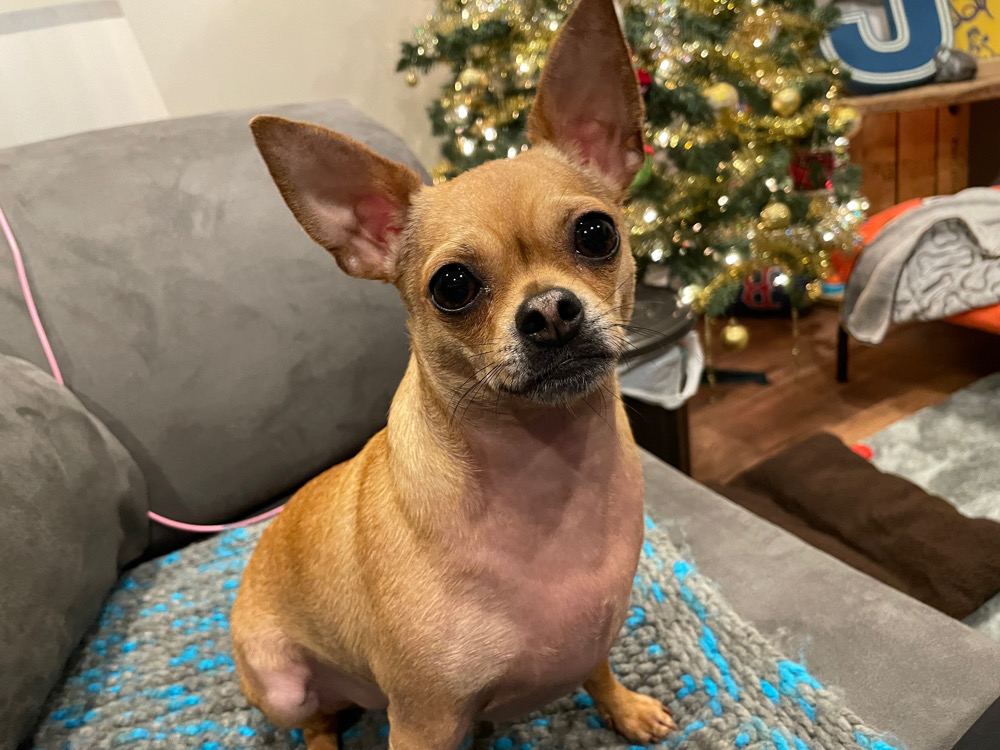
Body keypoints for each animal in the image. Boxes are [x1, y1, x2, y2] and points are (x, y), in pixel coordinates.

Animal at [231, 1, 677, 747]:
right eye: (453, 287)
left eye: (596, 234)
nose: (549, 312)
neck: (548, 469)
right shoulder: (424, 722)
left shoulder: (595, 633)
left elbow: (598, 670)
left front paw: (626, 709)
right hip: (283, 686)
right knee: (315, 719)